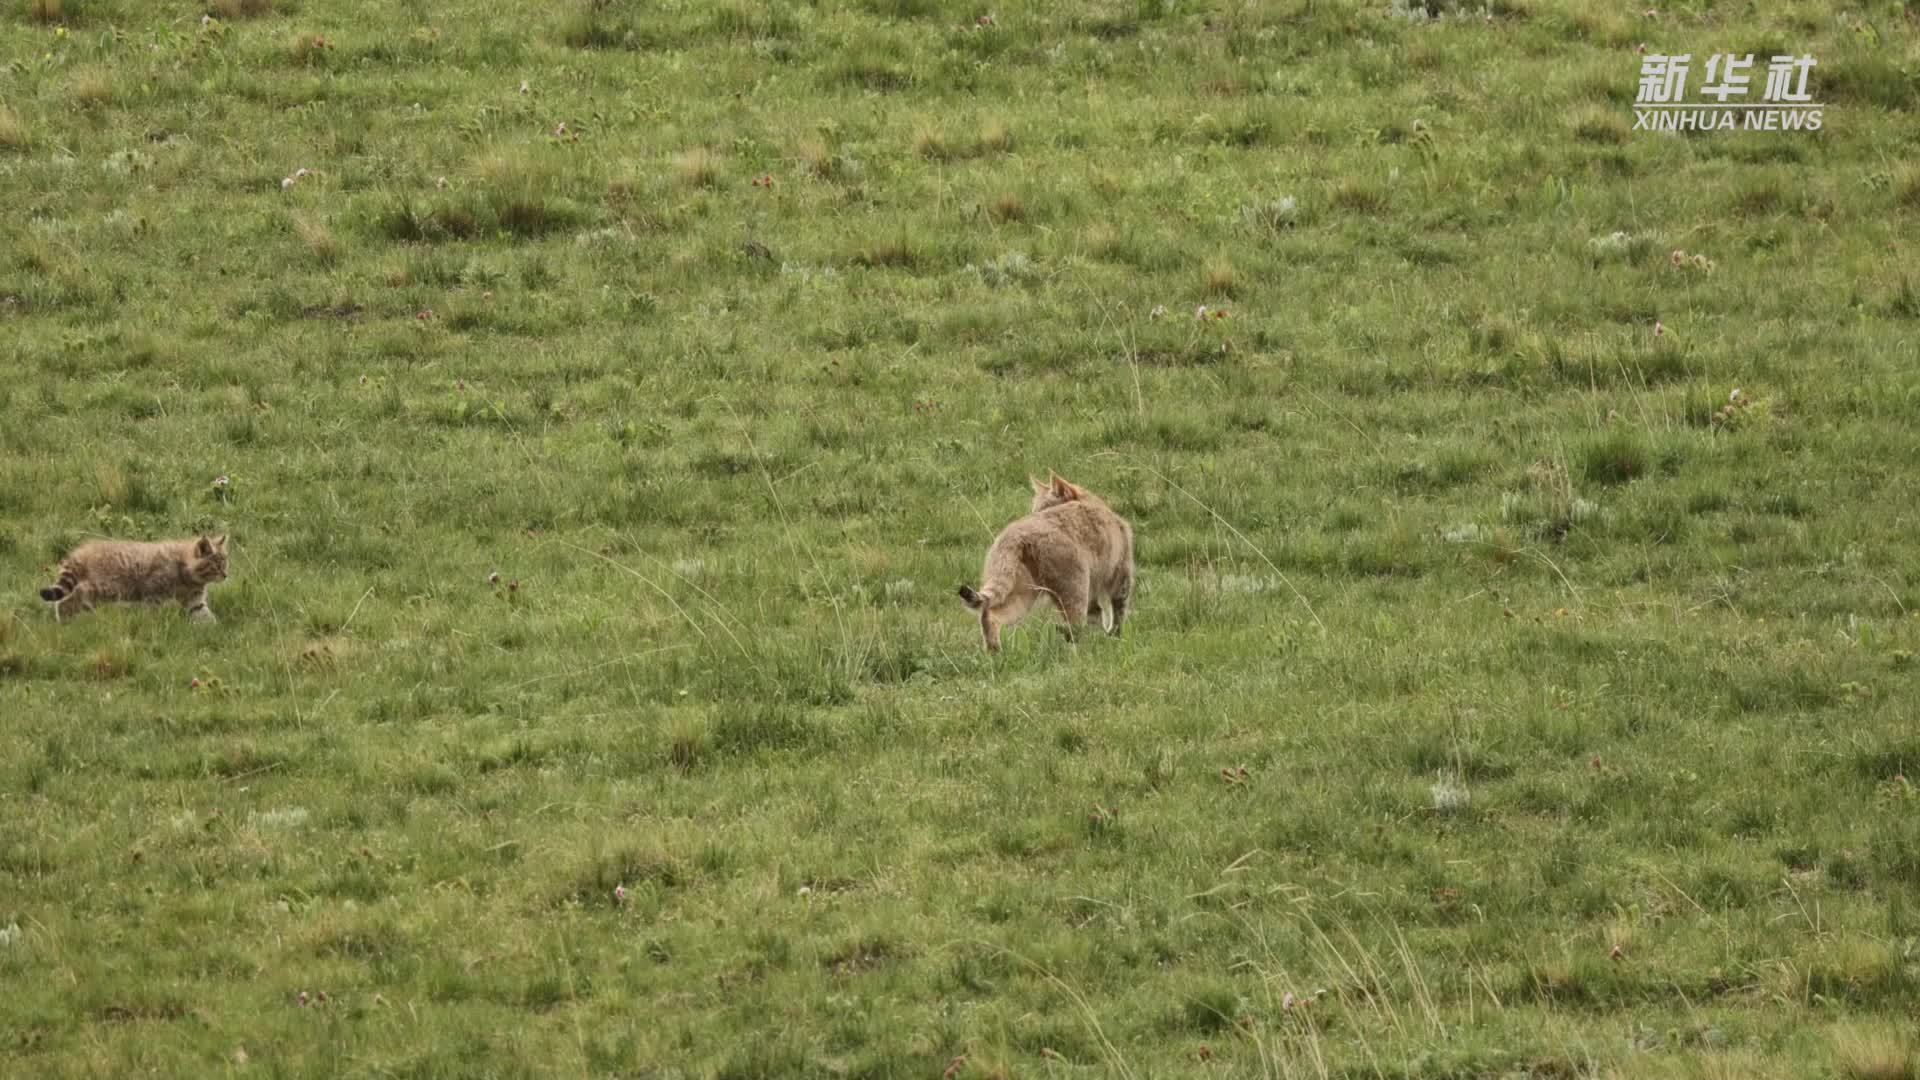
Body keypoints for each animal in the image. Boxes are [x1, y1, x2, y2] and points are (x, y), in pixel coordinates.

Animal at [40, 530, 231, 618]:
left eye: (225, 563)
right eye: (216, 566)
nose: (225, 575)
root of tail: (82, 552)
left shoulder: (195, 599)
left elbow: (202, 613)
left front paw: (214, 630)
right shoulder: (153, 593)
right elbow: (153, 610)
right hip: (105, 587)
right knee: (70, 598)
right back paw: (64, 618)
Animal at [956, 468, 1128, 645]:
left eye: (1042, 508)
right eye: (1037, 509)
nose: (1034, 514)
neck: (1091, 501)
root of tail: (1016, 534)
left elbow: (1098, 614)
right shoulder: (1122, 573)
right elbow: (1117, 612)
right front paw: (1114, 636)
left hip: (1022, 592)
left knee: (991, 615)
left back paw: (994, 649)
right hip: (1075, 588)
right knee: (1074, 628)